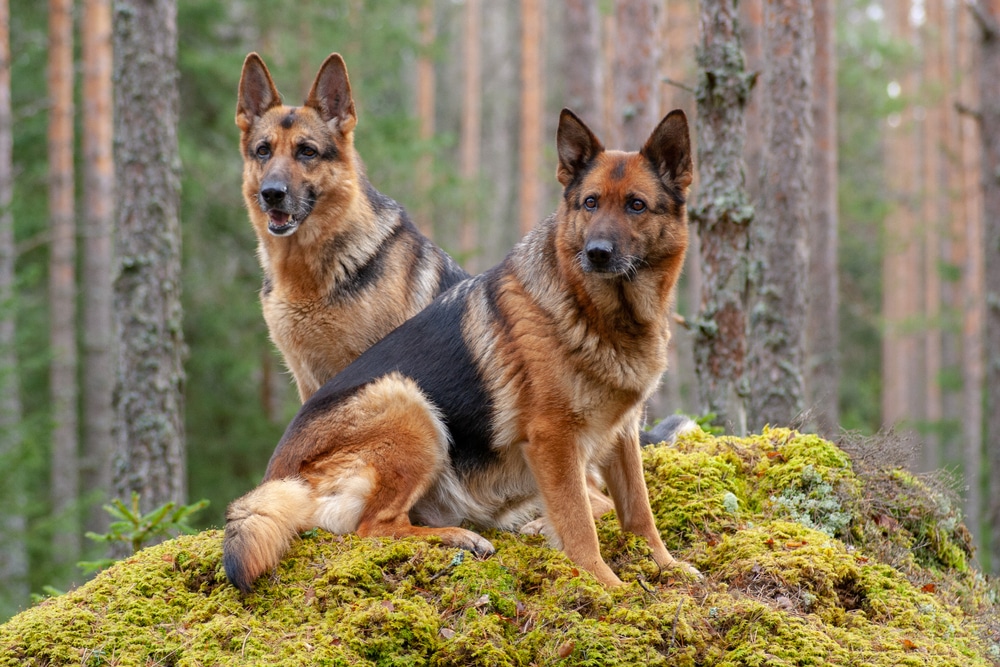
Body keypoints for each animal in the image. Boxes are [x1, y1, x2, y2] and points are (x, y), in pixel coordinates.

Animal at [223, 107, 700, 592]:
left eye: (636, 205)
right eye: (590, 203)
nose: (597, 253)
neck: (599, 312)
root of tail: (280, 479)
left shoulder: (622, 433)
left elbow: (639, 511)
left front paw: (666, 565)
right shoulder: (555, 442)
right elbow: (580, 527)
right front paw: (607, 587)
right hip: (407, 404)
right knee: (375, 526)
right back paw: (460, 537)